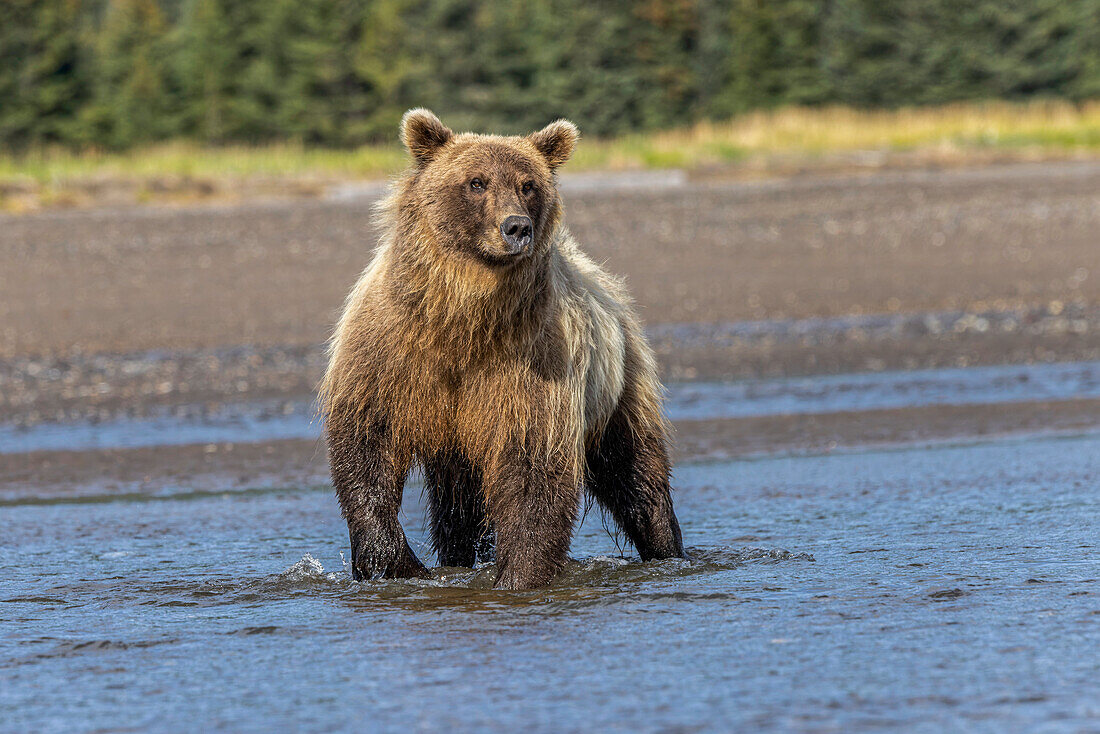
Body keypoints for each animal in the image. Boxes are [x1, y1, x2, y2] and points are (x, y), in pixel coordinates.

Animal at [319, 110, 682, 589]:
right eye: (477, 182)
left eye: (528, 184)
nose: (517, 227)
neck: (464, 317)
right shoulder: (389, 353)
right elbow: (366, 446)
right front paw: (393, 564)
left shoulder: (530, 368)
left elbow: (533, 469)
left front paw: (518, 577)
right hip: (458, 446)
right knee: (458, 505)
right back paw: (455, 558)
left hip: (618, 384)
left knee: (637, 471)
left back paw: (667, 549)